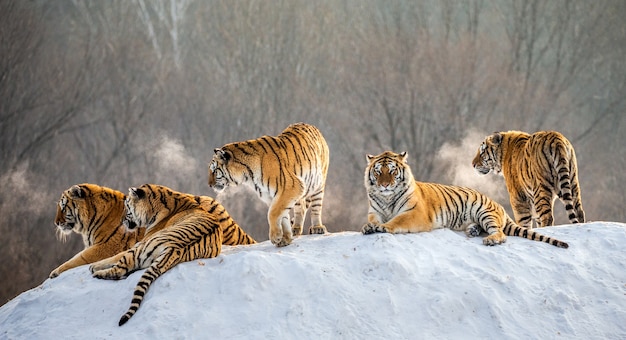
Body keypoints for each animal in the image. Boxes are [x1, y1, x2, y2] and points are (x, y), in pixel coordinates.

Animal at [87, 185, 224, 326]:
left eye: (126, 206)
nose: (121, 220)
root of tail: (174, 249)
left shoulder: (140, 242)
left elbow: (114, 256)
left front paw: (94, 265)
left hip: (139, 249)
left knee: (119, 270)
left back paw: (97, 273)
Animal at [360, 150, 572, 248]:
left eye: (392, 171)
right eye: (378, 172)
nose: (384, 185)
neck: (387, 199)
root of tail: (499, 206)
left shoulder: (414, 213)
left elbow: (396, 221)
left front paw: (383, 227)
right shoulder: (374, 211)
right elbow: (373, 220)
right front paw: (369, 227)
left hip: (485, 212)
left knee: (501, 234)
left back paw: (490, 240)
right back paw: (473, 230)